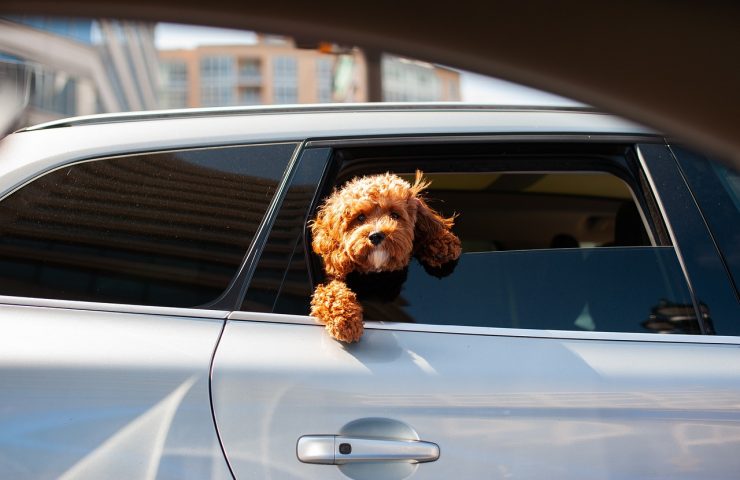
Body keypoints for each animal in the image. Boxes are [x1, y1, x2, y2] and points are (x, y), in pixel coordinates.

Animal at [310, 171, 460, 344]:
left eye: (394, 215)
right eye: (360, 217)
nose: (376, 236)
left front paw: (443, 242)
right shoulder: (330, 280)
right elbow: (331, 293)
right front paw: (346, 321)